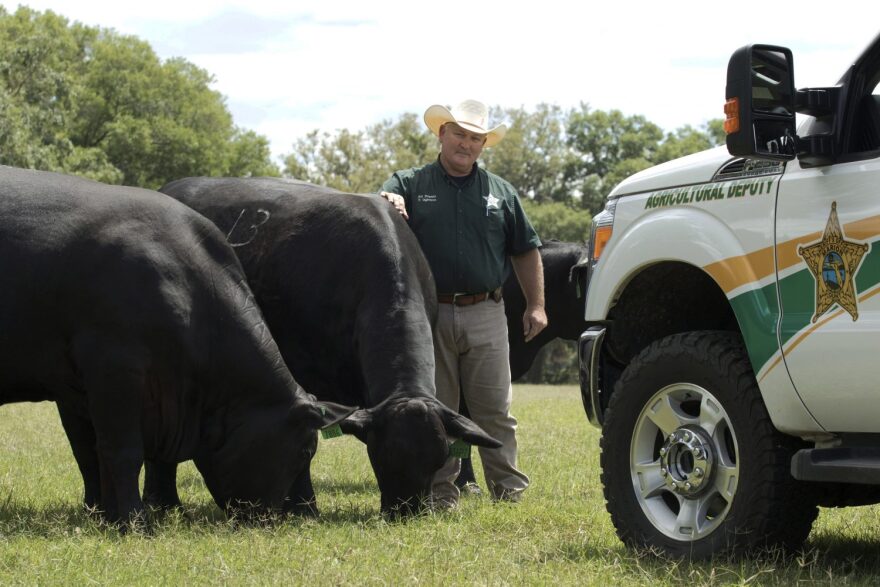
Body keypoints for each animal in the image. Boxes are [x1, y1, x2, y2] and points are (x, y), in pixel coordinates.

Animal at [0, 165, 352, 524]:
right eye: (305, 450)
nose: (299, 516)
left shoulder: (75, 388)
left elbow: (89, 454)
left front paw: (104, 515)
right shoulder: (112, 367)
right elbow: (121, 451)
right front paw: (133, 521)